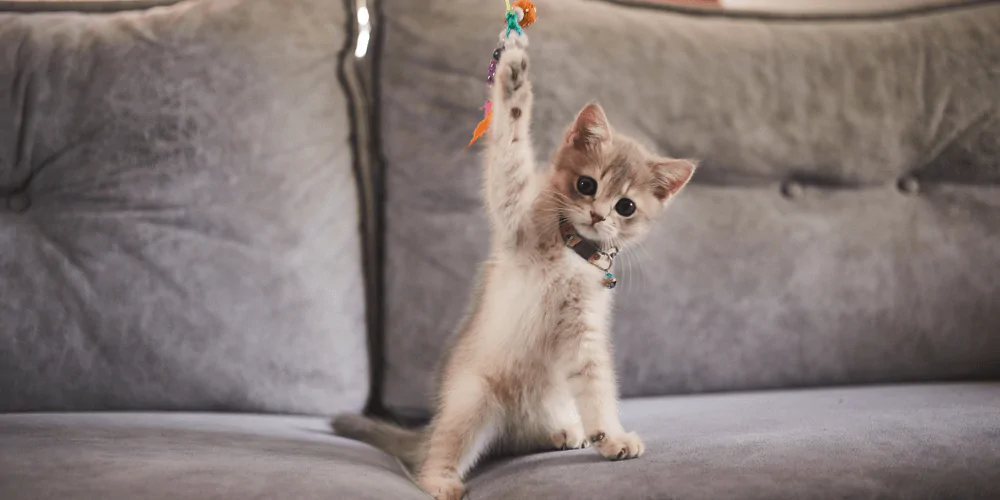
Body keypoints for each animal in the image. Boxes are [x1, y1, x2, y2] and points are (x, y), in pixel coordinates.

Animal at [334, 40, 696, 500]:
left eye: (626, 206)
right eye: (586, 185)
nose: (598, 215)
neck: (570, 249)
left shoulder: (584, 332)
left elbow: (596, 386)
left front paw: (610, 437)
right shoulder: (514, 210)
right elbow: (511, 143)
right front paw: (514, 76)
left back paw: (565, 431)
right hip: (471, 401)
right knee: (440, 450)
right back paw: (440, 480)